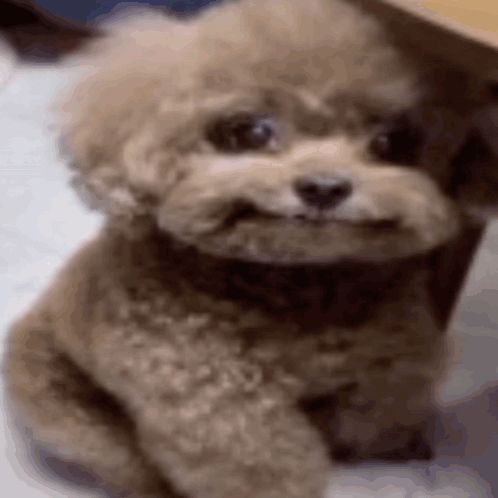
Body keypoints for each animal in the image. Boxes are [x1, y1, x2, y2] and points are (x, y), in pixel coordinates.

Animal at [4, 0, 498, 498]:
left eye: (391, 143)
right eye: (249, 132)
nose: (324, 187)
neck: (296, 283)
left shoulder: (392, 357)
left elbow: (384, 407)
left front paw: (397, 446)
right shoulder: (221, 406)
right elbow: (265, 467)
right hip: (71, 412)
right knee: (128, 464)